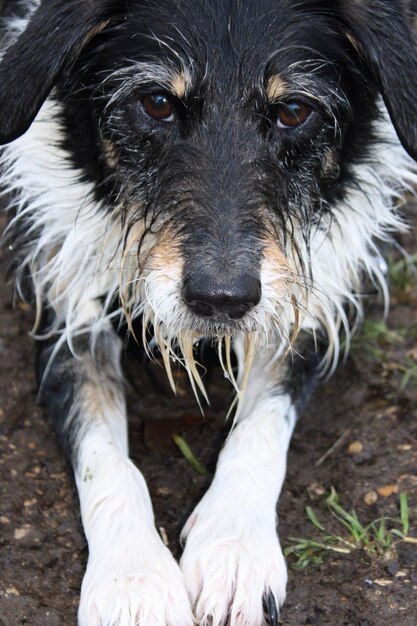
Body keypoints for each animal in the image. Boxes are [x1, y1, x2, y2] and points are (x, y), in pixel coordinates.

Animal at [0, 1, 416, 624]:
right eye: (156, 102)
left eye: (294, 111)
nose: (222, 298)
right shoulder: (68, 310)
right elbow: (107, 459)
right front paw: (132, 581)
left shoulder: (305, 299)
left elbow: (261, 430)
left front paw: (236, 550)